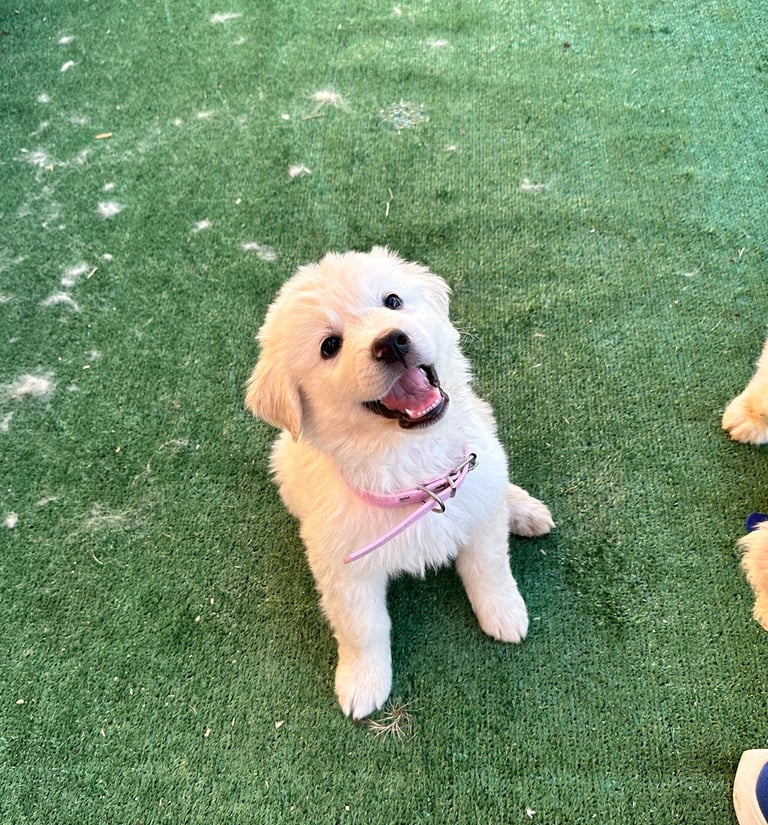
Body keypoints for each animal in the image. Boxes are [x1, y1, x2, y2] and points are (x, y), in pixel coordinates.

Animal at [245, 247, 554, 718]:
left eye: (392, 301)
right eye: (329, 346)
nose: (391, 341)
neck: (414, 472)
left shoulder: (478, 519)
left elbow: (490, 569)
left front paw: (505, 615)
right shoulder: (344, 571)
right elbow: (363, 627)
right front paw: (362, 683)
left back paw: (525, 509)